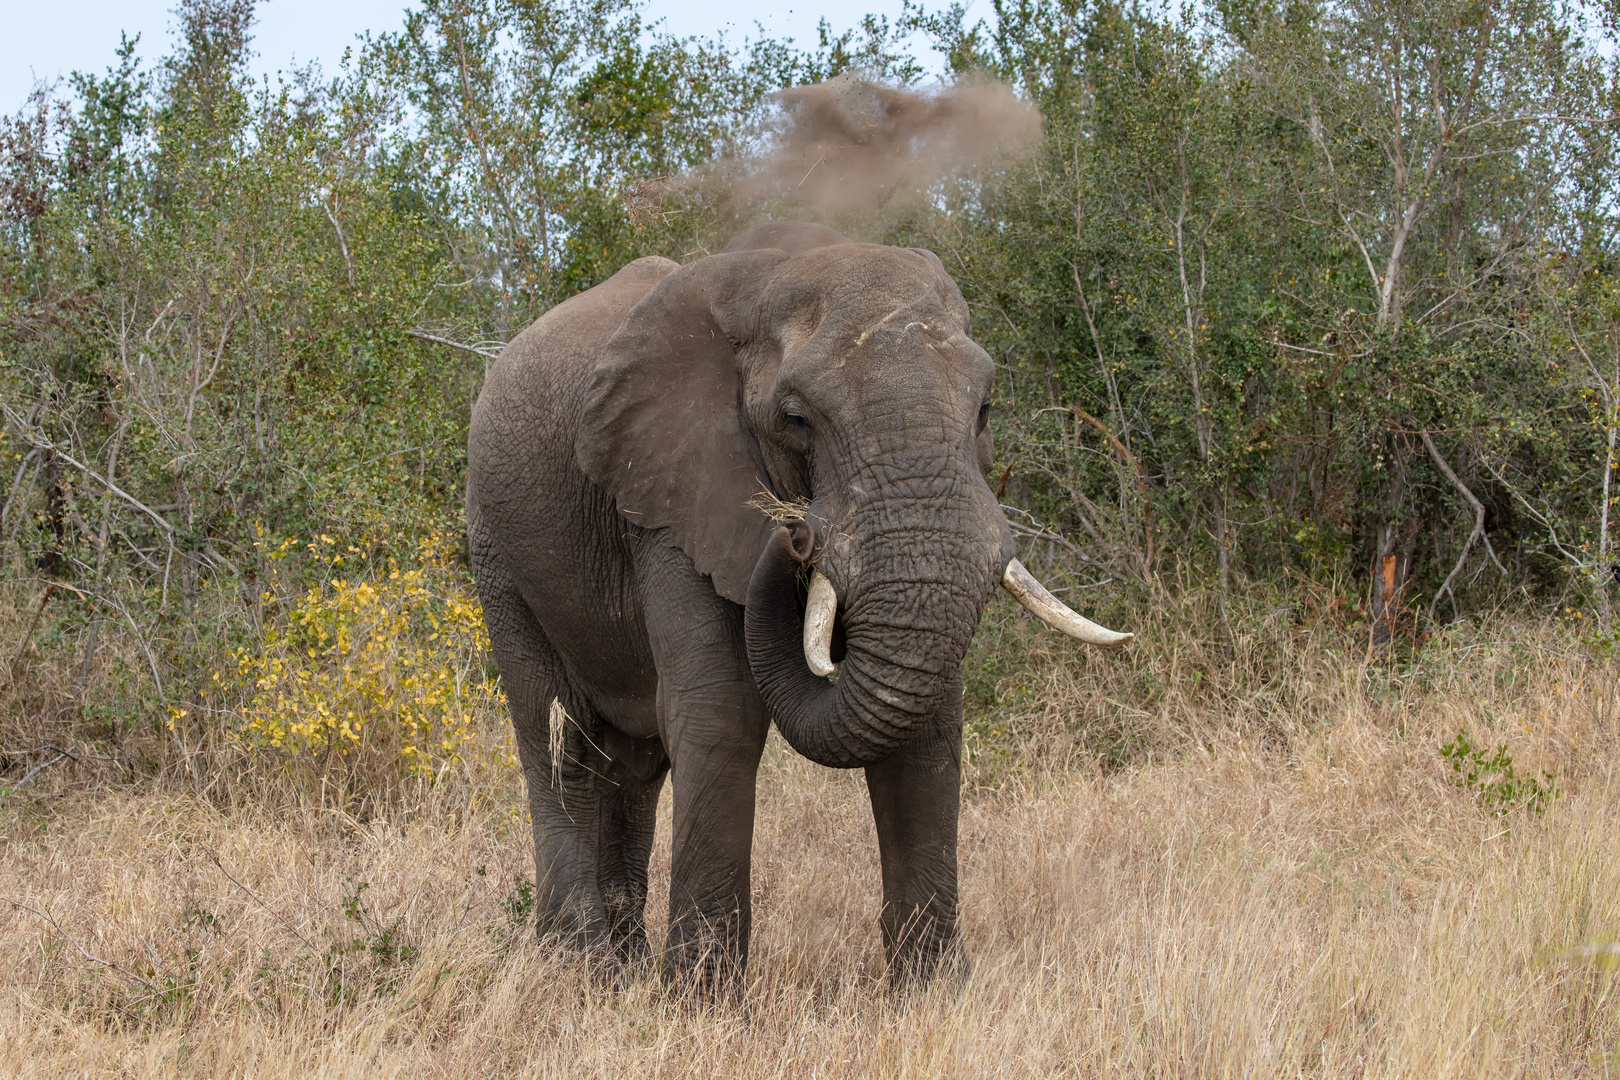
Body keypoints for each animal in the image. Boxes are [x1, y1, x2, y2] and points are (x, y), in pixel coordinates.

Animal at [469, 216, 1127, 990]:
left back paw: (623, 972)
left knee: (633, 764)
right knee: (558, 738)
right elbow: (720, 712)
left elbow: (927, 726)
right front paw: (700, 1003)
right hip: (497, 549)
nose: (795, 531)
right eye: (793, 418)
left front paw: (935, 993)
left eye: (986, 408)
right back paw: (578, 969)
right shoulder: (670, 505)